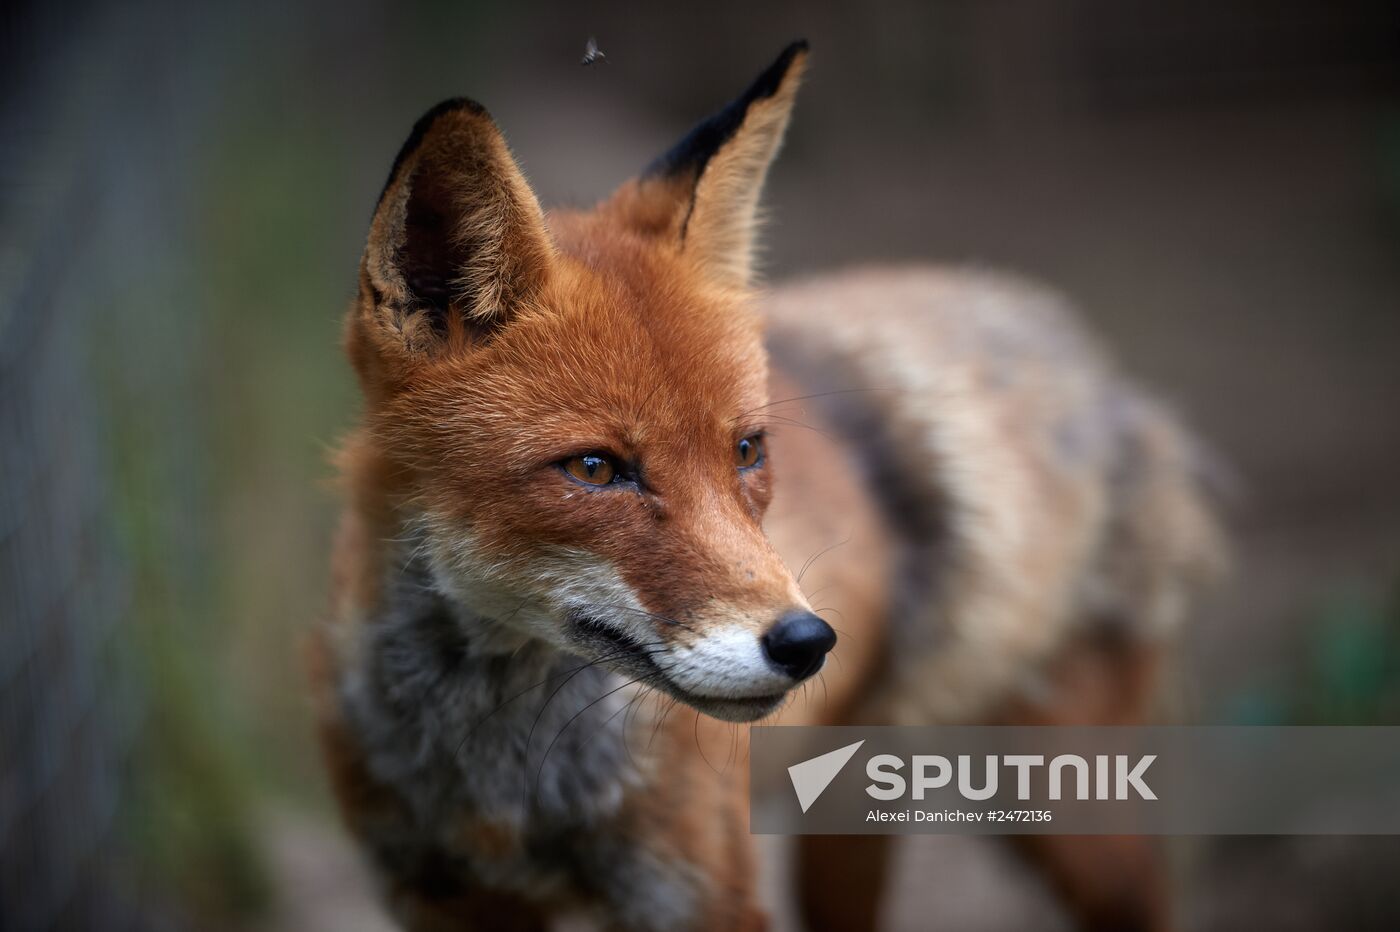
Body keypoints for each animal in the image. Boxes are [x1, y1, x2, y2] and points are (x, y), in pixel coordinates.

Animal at [309, 38, 1226, 929]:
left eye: (746, 451)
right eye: (595, 469)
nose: (806, 642)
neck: (499, 790)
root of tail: (1067, 336)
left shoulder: (701, 892)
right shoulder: (445, 901)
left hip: (1064, 815)